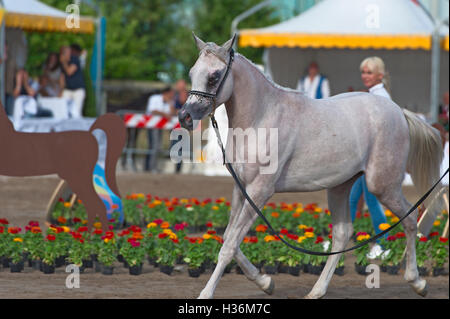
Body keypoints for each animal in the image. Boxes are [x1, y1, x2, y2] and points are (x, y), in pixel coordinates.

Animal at [177, 35, 442, 300]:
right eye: (191, 72)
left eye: (214, 76)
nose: (185, 117)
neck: (262, 118)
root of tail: (399, 111)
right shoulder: (241, 189)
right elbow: (228, 238)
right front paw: (266, 282)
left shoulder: (260, 191)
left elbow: (230, 245)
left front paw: (206, 294)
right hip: (339, 187)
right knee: (342, 234)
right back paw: (317, 290)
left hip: (382, 186)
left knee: (410, 219)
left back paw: (417, 282)